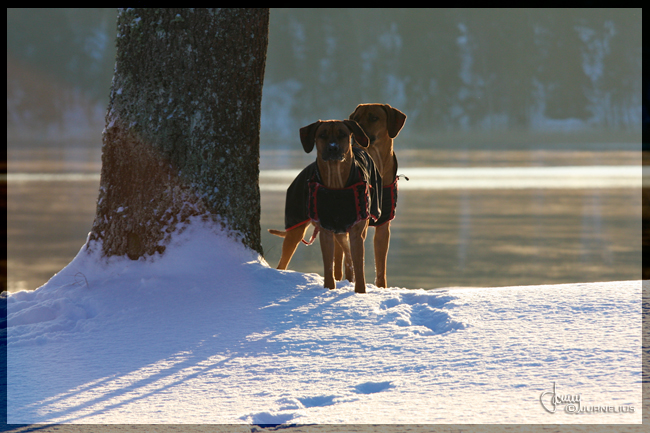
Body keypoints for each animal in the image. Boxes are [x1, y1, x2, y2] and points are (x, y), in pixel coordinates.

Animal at [268, 120, 380, 292]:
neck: (335, 182)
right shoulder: (326, 229)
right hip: (295, 228)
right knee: (284, 259)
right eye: (322, 135)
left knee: (348, 254)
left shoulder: (356, 230)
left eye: (342, 134)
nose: (333, 148)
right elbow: (328, 266)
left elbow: (359, 265)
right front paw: (329, 289)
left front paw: (360, 292)